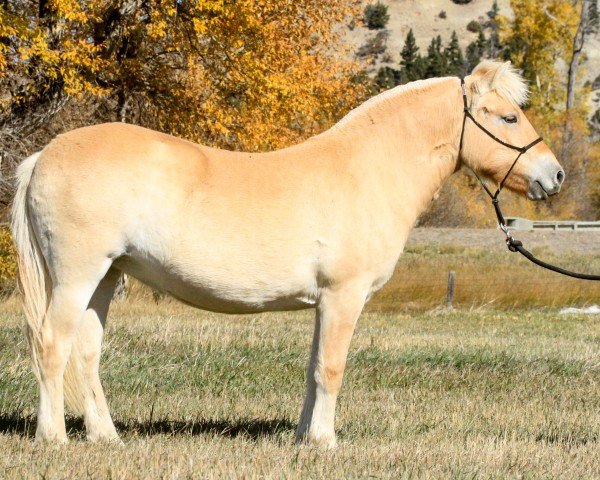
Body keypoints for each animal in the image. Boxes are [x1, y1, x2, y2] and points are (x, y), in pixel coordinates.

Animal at [10, 62, 564, 448]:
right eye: (509, 116)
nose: (554, 174)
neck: (366, 170)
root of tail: (43, 155)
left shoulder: (326, 302)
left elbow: (314, 368)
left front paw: (303, 438)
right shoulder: (345, 296)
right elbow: (332, 368)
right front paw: (326, 441)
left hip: (105, 277)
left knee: (87, 354)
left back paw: (107, 437)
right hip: (77, 276)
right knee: (51, 346)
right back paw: (54, 438)